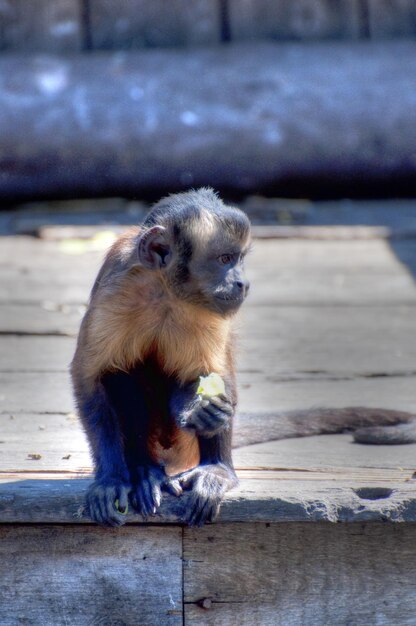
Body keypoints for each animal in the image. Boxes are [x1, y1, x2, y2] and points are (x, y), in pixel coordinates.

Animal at [71, 186, 416, 528]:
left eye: (239, 259)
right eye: (225, 259)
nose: (242, 282)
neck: (164, 290)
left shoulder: (205, 310)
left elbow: (205, 376)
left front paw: (199, 410)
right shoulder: (118, 287)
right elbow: (90, 379)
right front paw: (111, 480)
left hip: (183, 446)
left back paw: (217, 468)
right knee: (120, 373)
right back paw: (145, 471)